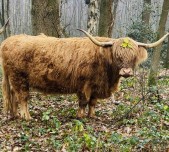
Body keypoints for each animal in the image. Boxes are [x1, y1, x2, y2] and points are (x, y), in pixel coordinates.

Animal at [1, 29, 169, 120]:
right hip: (19, 78)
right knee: (23, 98)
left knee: (13, 96)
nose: (126, 72)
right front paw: (81, 116)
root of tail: (8, 40)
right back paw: (27, 117)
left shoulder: (97, 86)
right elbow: (83, 101)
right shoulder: (83, 84)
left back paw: (15, 115)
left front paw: (92, 115)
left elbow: (93, 102)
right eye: (117, 55)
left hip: (14, 80)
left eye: (133, 56)